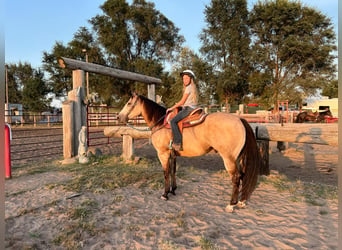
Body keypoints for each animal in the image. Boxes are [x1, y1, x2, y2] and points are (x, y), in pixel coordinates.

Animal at [118, 93, 262, 212]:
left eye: (129, 103)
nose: (119, 117)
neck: (160, 123)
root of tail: (240, 120)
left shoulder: (163, 154)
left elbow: (166, 173)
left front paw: (165, 194)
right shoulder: (173, 154)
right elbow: (173, 171)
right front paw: (173, 190)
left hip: (229, 158)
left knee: (236, 178)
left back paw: (231, 204)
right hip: (239, 158)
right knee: (243, 175)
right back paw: (241, 202)